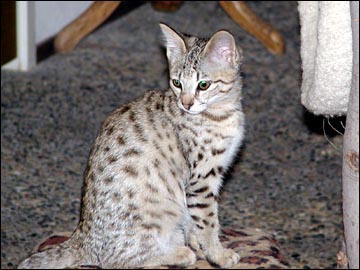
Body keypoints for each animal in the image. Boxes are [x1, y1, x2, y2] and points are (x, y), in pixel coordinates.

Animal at [19, 22, 245, 268]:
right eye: (176, 83)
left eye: (204, 85)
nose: (186, 104)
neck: (221, 113)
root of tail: (82, 237)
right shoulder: (201, 180)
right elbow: (208, 223)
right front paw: (218, 254)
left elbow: (196, 224)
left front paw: (202, 247)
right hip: (161, 212)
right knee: (118, 260)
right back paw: (179, 254)